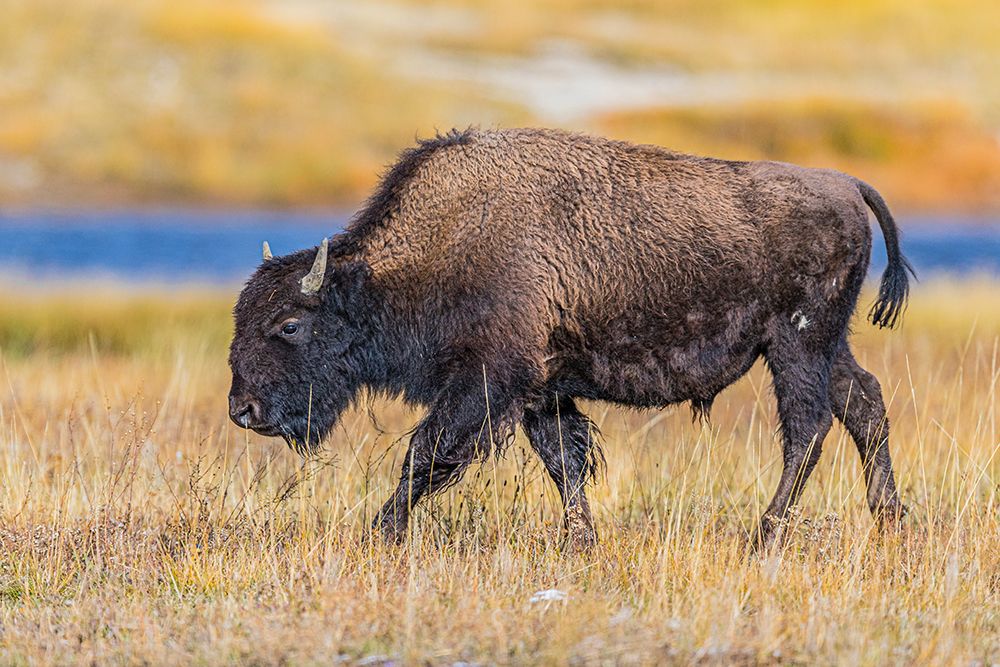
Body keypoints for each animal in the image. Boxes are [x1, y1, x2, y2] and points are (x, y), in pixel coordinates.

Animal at [228, 128, 911, 549]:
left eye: (290, 325)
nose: (243, 410)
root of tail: (848, 184)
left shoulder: (488, 383)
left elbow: (425, 453)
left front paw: (381, 532)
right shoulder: (542, 390)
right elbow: (564, 461)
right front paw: (580, 539)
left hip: (796, 345)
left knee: (809, 425)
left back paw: (766, 533)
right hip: (826, 347)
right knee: (863, 403)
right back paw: (890, 522)